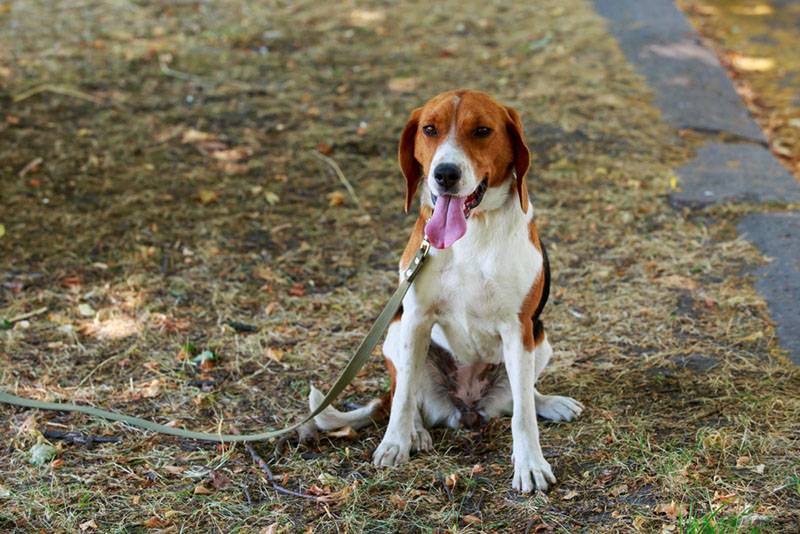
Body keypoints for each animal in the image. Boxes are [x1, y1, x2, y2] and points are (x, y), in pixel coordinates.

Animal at [310, 89, 580, 494]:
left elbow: (522, 415)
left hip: (540, 338)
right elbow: (405, 397)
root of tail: (465, 408)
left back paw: (547, 402)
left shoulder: (518, 328)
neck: (473, 230)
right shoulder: (416, 318)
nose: (445, 174)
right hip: (395, 332)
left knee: (522, 397)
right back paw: (415, 433)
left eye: (482, 130)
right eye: (429, 129)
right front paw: (395, 442)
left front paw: (530, 464)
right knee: (401, 393)